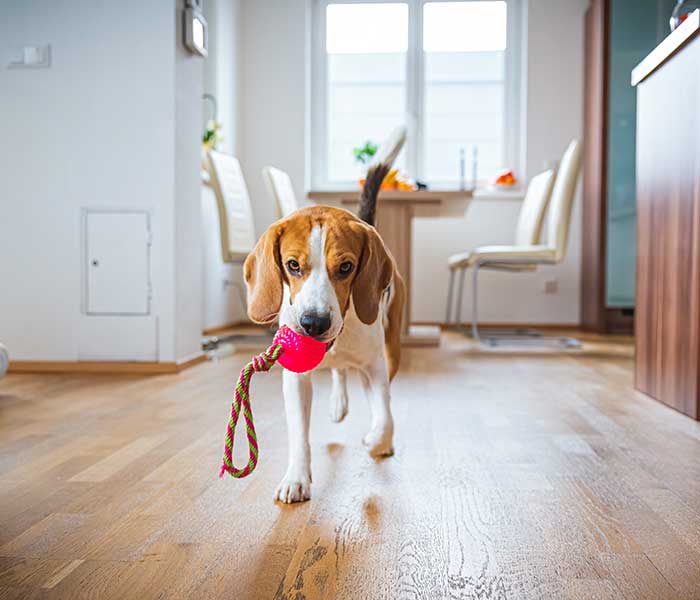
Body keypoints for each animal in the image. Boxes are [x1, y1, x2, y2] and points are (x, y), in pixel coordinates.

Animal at [245, 164, 404, 502]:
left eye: (346, 267)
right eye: (292, 265)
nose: (313, 323)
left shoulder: (375, 367)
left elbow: (385, 417)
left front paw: (377, 440)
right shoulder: (295, 379)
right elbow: (298, 433)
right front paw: (296, 477)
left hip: (392, 349)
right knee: (339, 372)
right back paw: (338, 403)